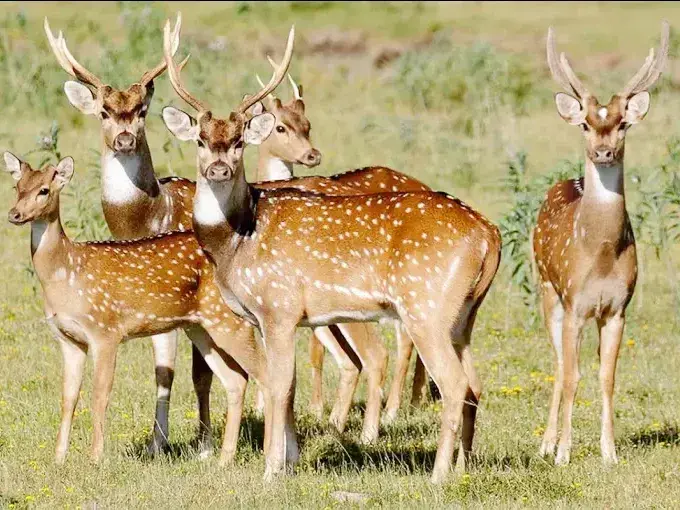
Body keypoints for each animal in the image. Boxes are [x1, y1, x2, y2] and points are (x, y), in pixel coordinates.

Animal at [2, 152, 270, 466]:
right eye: (17, 187)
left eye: (44, 190)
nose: (14, 214)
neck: (66, 273)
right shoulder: (67, 339)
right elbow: (68, 397)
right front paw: (58, 459)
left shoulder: (105, 330)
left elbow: (100, 394)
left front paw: (95, 459)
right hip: (201, 327)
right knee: (236, 380)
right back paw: (224, 459)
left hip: (229, 320)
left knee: (266, 375)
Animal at [161, 20, 501, 483]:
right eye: (199, 139)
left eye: (238, 141)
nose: (218, 169)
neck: (236, 242)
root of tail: (490, 233)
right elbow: (284, 385)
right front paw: (288, 460)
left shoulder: (279, 307)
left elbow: (279, 384)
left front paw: (271, 470)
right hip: (463, 315)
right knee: (475, 384)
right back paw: (463, 467)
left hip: (426, 306)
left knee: (454, 384)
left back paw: (437, 476)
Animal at [534, 22, 669, 466]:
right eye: (585, 125)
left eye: (624, 124)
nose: (604, 152)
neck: (602, 255)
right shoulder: (575, 304)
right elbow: (573, 376)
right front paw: (563, 453)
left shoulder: (617, 309)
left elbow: (607, 377)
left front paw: (609, 452)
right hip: (547, 291)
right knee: (559, 364)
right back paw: (546, 443)